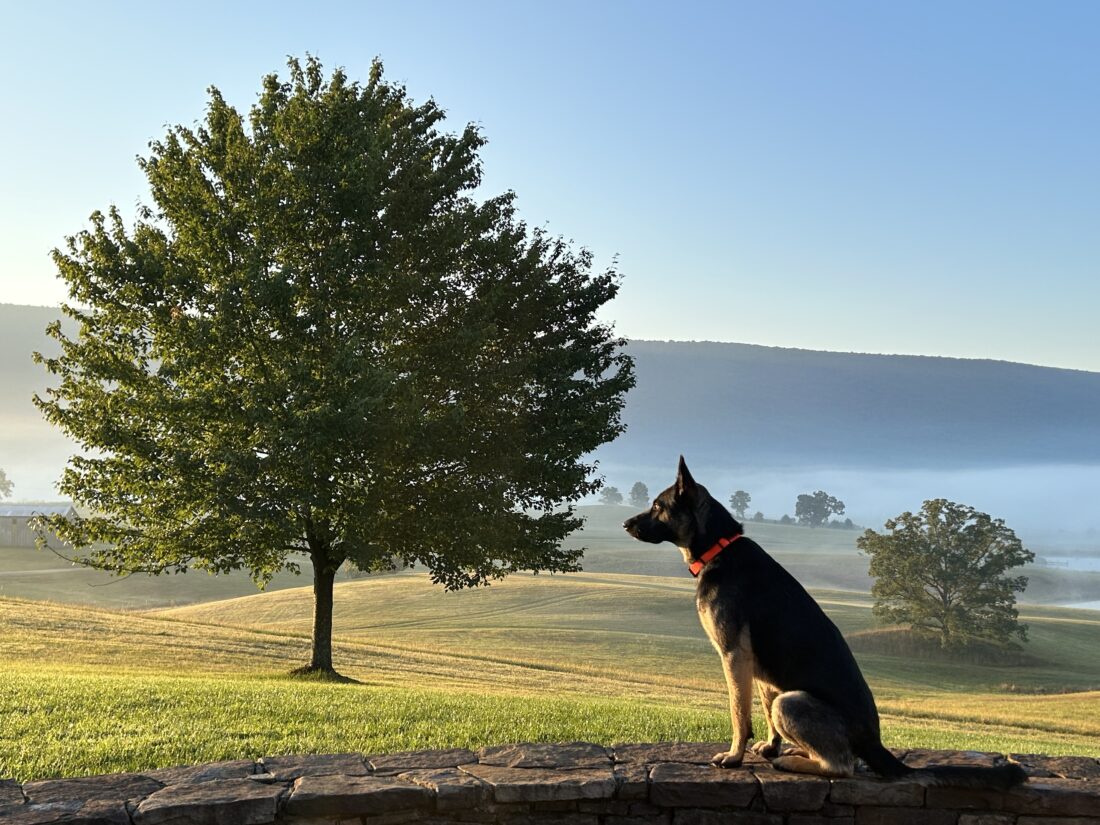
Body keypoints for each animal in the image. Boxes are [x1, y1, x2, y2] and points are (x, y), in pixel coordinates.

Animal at [624, 459, 1025, 787]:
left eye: (658, 507)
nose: (625, 523)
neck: (719, 546)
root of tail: (874, 743)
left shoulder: (734, 654)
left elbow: (739, 713)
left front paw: (734, 756)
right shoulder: (757, 666)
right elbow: (762, 707)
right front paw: (769, 747)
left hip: (792, 702)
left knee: (842, 766)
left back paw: (795, 763)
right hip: (785, 697)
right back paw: (795, 753)